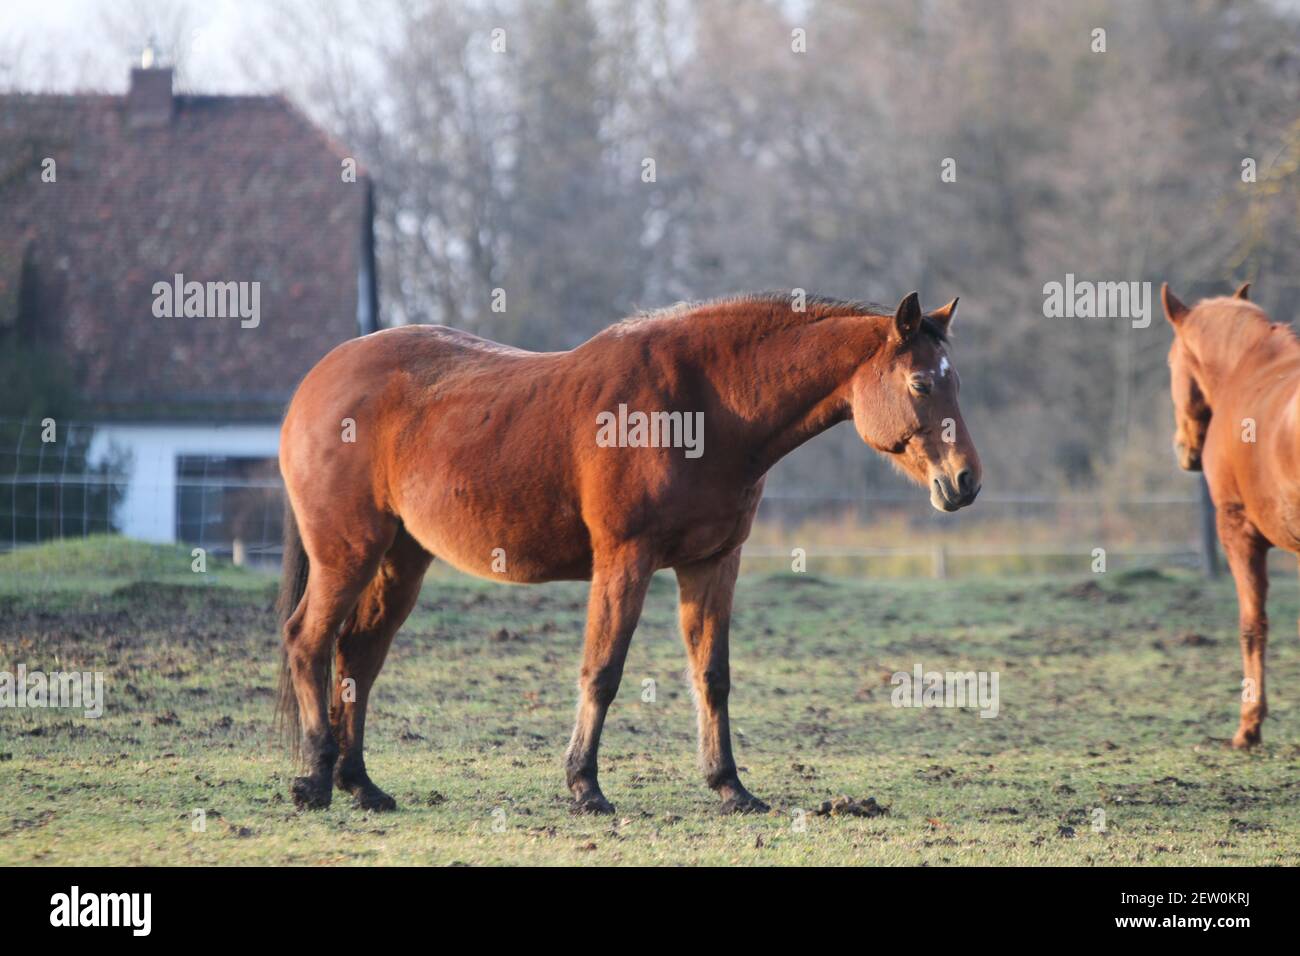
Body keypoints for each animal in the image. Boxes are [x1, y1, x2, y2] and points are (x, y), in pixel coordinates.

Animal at [279, 290, 977, 816]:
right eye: (921, 383)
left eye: (954, 384)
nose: (966, 481)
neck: (701, 404)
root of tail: (315, 383)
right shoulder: (625, 561)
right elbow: (603, 671)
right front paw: (584, 786)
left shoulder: (713, 563)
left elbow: (712, 676)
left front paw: (730, 787)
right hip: (348, 554)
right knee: (308, 641)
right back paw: (314, 781)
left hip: (401, 559)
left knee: (358, 655)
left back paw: (361, 784)